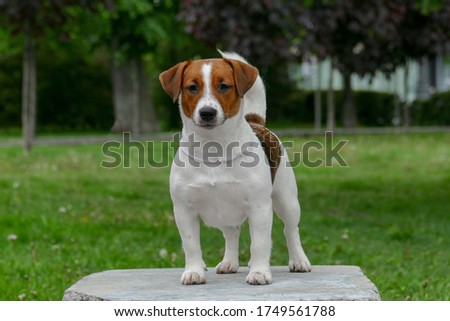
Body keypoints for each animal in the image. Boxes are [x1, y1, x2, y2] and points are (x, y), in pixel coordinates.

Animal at [158, 51, 310, 284]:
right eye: (192, 87)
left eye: (224, 86)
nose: (207, 112)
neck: (214, 148)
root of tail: (256, 122)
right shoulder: (184, 210)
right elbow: (191, 245)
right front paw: (194, 271)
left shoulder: (259, 207)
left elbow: (260, 243)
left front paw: (259, 271)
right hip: (226, 214)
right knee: (231, 235)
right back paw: (229, 262)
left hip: (288, 202)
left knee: (291, 231)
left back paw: (298, 260)